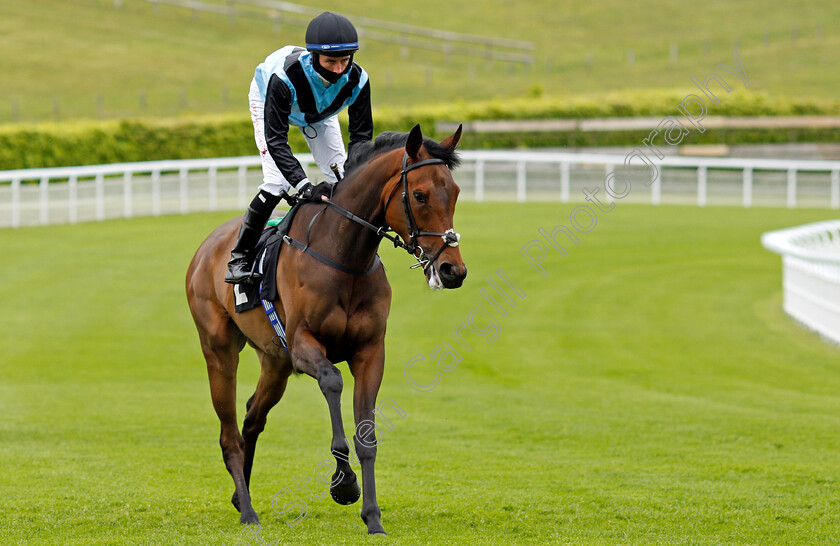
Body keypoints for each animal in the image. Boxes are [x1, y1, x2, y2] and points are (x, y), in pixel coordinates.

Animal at [185, 122, 466, 532]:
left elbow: (367, 435)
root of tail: (206, 248)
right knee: (229, 433)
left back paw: (241, 497)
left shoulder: (370, 352)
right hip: (219, 351)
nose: (452, 270)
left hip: (276, 363)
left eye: (455, 192)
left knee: (252, 417)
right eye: (419, 195)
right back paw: (249, 512)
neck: (344, 257)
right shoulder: (304, 345)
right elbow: (332, 382)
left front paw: (373, 517)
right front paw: (343, 482)